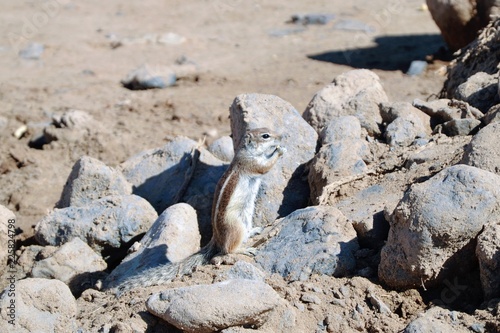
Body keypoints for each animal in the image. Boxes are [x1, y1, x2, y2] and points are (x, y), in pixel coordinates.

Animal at [106, 127, 286, 296]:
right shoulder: (250, 162)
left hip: (245, 218)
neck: (246, 151)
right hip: (235, 226)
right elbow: (264, 166)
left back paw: (254, 231)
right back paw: (243, 249)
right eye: (265, 136)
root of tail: (216, 238)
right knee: (227, 249)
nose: (281, 137)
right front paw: (279, 150)